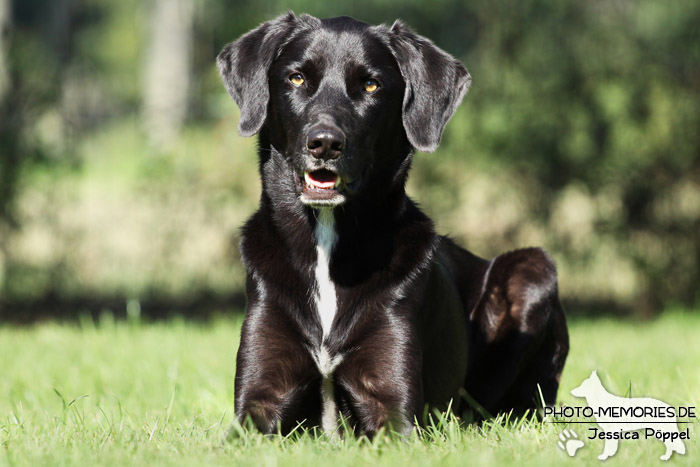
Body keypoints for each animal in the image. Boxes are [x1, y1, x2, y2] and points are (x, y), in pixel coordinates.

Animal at [219, 12, 568, 436]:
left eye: (371, 84)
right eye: (297, 78)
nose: (325, 143)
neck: (326, 240)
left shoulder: (393, 408)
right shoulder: (258, 401)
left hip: (532, 268)